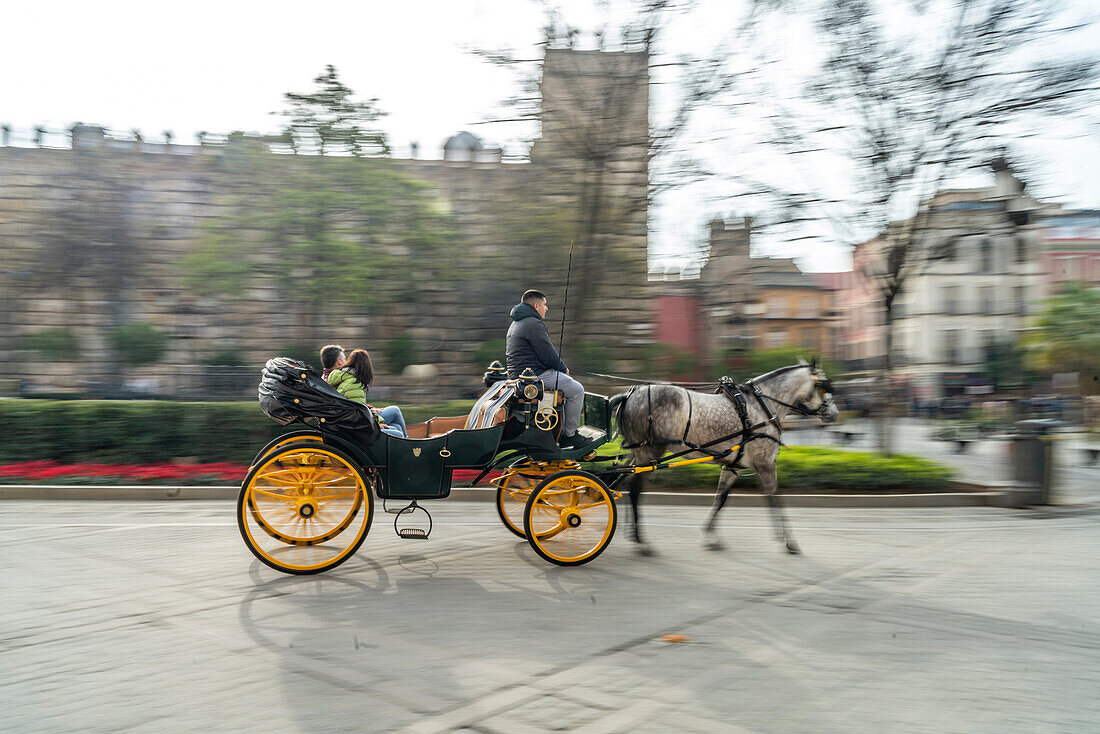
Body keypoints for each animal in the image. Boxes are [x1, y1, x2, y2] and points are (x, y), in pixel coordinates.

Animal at [616, 360, 836, 556]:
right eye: (823, 386)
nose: (834, 413)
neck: (763, 406)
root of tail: (630, 394)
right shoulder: (765, 464)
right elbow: (775, 498)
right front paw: (789, 542)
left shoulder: (732, 465)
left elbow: (721, 498)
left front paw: (710, 535)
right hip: (650, 453)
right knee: (634, 490)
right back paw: (641, 542)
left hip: (639, 454)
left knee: (623, 482)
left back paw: (631, 533)